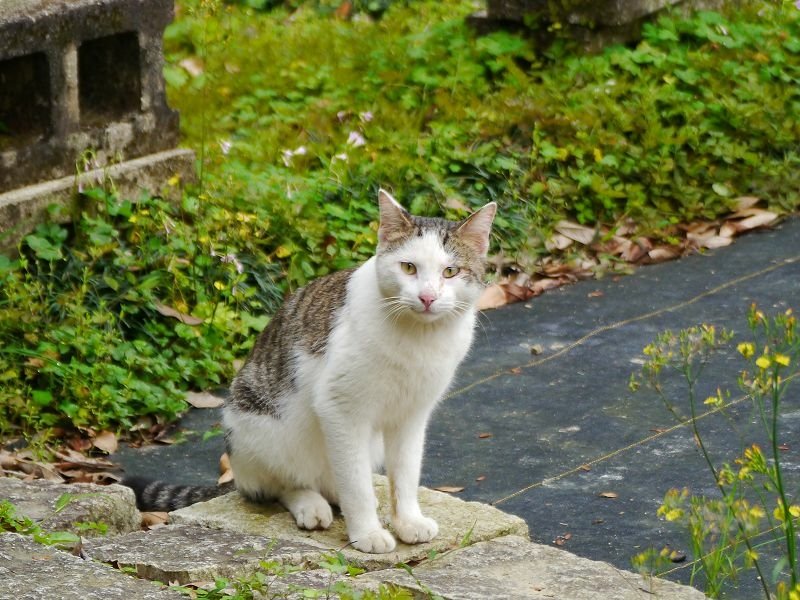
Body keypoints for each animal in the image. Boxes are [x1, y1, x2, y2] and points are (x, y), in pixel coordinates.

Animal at [126, 189, 494, 552]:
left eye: (450, 272)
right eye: (408, 267)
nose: (428, 297)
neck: (418, 339)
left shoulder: (412, 415)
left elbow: (404, 475)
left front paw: (408, 521)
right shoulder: (340, 408)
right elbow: (356, 485)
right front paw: (367, 533)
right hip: (260, 429)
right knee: (279, 484)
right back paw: (310, 504)